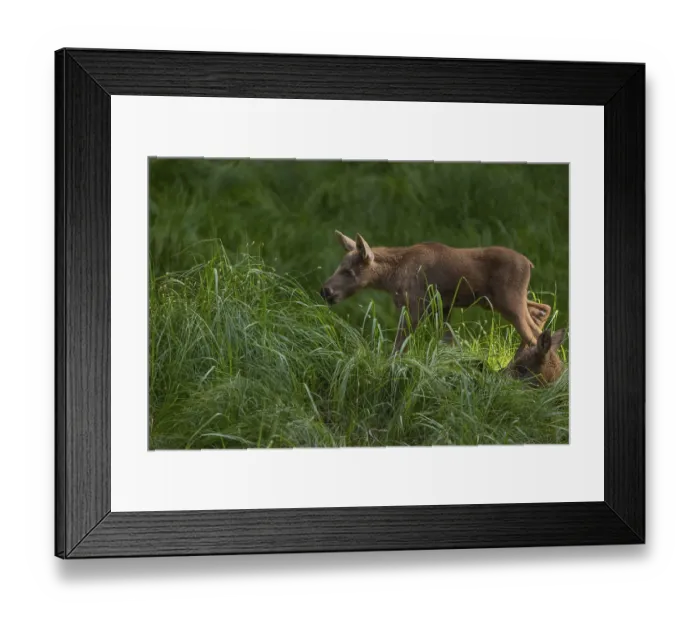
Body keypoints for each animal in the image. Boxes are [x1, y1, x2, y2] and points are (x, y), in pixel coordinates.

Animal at [320, 231, 551, 354]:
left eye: (349, 271)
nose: (325, 290)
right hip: (499, 301)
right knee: (542, 311)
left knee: (534, 334)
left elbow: (399, 346)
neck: (390, 278)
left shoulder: (414, 305)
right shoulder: (443, 307)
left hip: (509, 302)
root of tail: (529, 264)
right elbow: (449, 341)